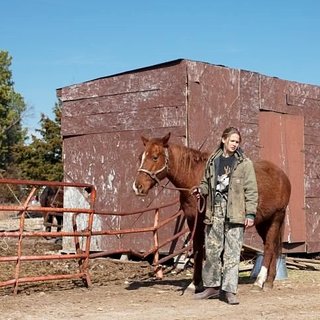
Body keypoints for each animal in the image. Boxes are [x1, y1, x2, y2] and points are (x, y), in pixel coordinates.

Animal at [131, 131, 292, 292]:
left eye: (155, 157)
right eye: (140, 157)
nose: (137, 187)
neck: (194, 178)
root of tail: (282, 175)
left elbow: (205, 250)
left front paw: (200, 283)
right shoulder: (192, 220)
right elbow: (197, 249)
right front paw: (195, 284)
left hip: (276, 218)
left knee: (269, 246)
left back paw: (261, 281)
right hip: (263, 222)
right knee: (271, 246)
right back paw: (269, 281)